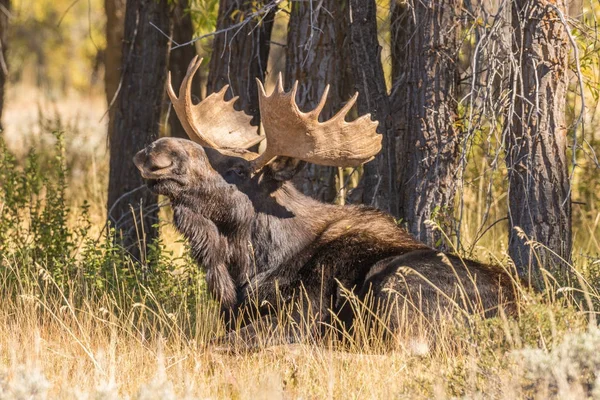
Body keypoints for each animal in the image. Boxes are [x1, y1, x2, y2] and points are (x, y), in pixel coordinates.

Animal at [135, 56, 516, 346]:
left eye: (238, 170)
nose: (155, 150)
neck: (250, 265)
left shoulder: (300, 315)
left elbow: (213, 344)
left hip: (395, 289)